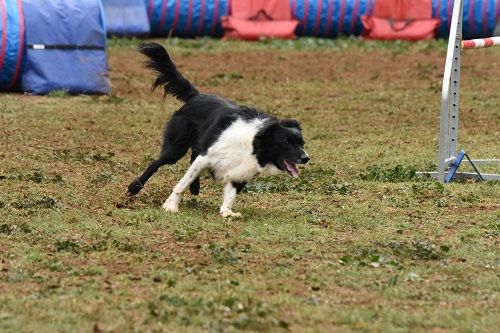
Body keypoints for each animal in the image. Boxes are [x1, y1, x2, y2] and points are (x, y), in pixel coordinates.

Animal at [127, 41, 308, 217]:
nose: (306, 158)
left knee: (192, 156)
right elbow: (182, 183)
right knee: (158, 162)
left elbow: (230, 195)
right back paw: (135, 187)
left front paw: (227, 212)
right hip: (176, 148)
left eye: (302, 143)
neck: (253, 146)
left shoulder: (239, 174)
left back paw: (195, 187)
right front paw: (171, 205)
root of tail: (196, 96)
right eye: (286, 142)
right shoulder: (207, 156)